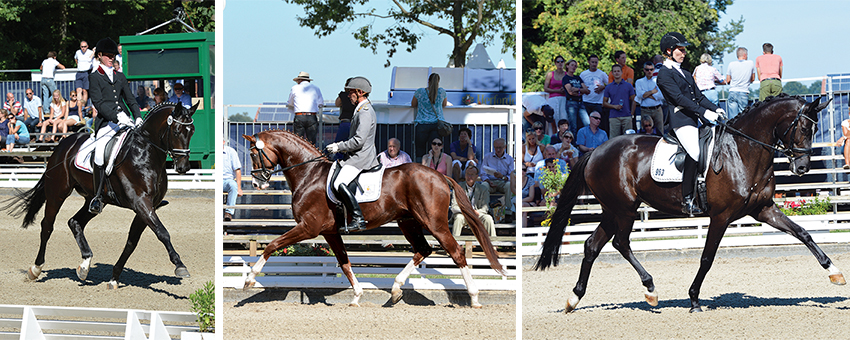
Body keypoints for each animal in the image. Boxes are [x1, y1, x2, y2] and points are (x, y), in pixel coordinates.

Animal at [4, 101, 198, 290]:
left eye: (192, 131)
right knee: (47, 226)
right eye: (176, 131)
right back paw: (35, 269)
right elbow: (162, 233)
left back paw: (84, 265)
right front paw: (180, 266)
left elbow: (132, 241)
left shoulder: (148, 207)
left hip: (95, 200)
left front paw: (114, 278)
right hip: (57, 193)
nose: (184, 167)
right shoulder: (141, 203)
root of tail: (63, 144)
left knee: (75, 222)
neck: (145, 153)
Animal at [240, 131, 504, 308]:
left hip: (435, 224)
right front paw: (357, 295)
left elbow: (273, 245)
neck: (309, 174)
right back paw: (396, 289)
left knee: (456, 252)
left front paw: (250, 279)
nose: (256, 183)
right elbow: (344, 262)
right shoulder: (329, 232)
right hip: (408, 222)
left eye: (253, 153)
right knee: (423, 249)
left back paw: (474, 297)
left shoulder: (308, 227)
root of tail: (440, 175)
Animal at [532, 95, 844, 314]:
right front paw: (694, 299)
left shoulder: (763, 209)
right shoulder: (721, 216)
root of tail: (596, 151)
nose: (802, 167)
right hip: (625, 209)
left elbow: (803, 233)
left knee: (592, 245)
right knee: (620, 243)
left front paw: (834, 272)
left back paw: (574, 298)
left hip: (613, 210)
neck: (743, 151)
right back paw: (650, 289)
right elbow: (707, 258)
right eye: (802, 126)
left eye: (815, 128)